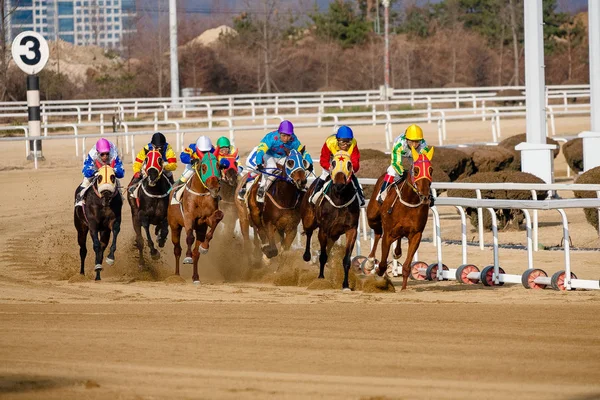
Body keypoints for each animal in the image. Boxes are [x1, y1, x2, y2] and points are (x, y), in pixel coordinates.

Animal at [168, 152, 224, 282]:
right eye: (203, 167)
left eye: (219, 165)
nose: (215, 188)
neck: (201, 194)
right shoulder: (189, 217)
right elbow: (189, 237)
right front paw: (187, 257)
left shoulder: (205, 221)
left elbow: (218, 217)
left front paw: (204, 247)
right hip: (174, 226)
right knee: (177, 249)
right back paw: (177, 275)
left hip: (199, 229)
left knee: (196, 253)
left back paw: (195, 277)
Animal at [302, 150, 358, 290]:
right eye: (333, 163)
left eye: (349, 164)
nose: (339, 185)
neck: (339, 199)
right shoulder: (324, 229)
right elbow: (322, 256)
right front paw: (321, 278)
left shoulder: (351, 230)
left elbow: (346, 260)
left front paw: (345, 284)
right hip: (309, 219)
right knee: (309, 232)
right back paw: (307, 256)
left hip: (334, 234)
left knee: (328, 246)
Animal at [364, 146, 434, 288]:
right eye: (416, 170)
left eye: (431, 170)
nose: (425, 197)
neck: (409, 201)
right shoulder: (388, 233)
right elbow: (382, 265)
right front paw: (378, 275)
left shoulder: (416, 234)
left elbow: (407, 266)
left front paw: (403, 288)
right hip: (372, 217)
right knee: (377, 233)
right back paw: (370, 261)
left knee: (397, 237)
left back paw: (397, 252)